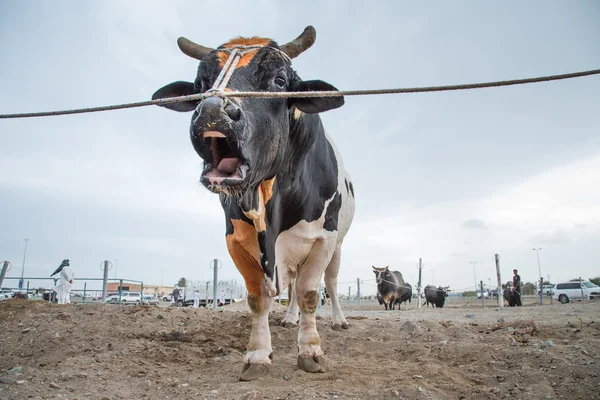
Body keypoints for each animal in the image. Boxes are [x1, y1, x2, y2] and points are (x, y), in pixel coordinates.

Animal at [152, 26, 354, 380]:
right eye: (200, 85)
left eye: (279, 80)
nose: (213, 112)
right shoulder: (236, 238)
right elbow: (259, 297)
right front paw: (258, 354)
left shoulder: (323, 238)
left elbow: (310, 293)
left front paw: (310, 350)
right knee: (290, 288)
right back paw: (288, 317)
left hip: (338, 244)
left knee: (327, 282)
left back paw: (338, 320)